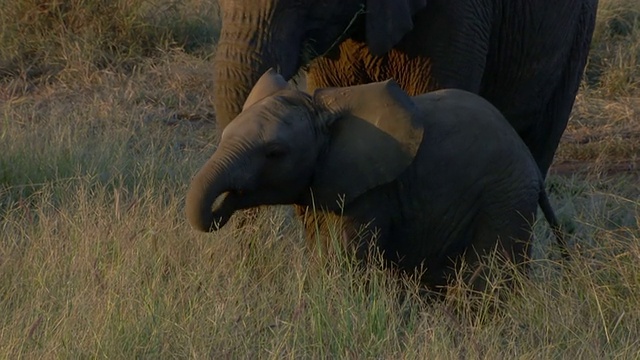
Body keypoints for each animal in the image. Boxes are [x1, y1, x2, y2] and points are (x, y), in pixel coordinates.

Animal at [186, 69, 564, 292]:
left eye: (274, 153)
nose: (224, 203)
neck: (322, 110)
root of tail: (531, 164)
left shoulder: (371, 192)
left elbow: (343, 259)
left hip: (504, 198)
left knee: (487, 279)